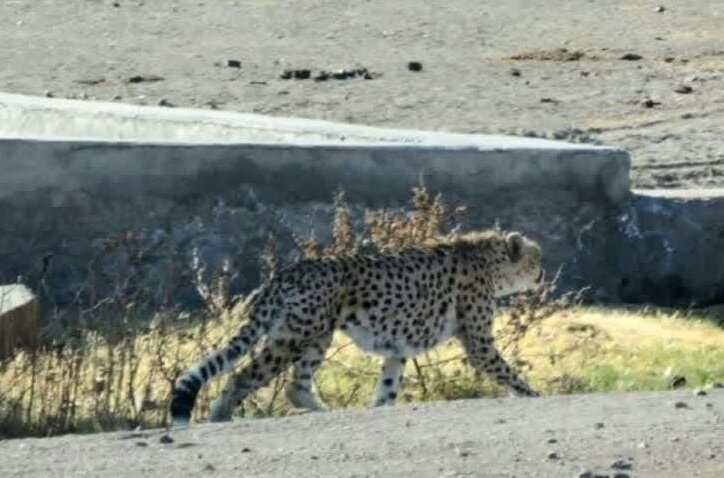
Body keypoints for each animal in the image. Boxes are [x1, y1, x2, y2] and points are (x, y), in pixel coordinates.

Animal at [170, 229, 544, 426]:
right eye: (535, 259)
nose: (542, 274)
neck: (491, 262)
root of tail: (289, 270)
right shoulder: (479, 343)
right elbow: (507, 372)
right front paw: (534, 395)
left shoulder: (398, 346)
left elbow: (388, 386)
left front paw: (380, 409)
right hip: (295, 336)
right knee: (242, 377)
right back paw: (219, 417)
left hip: (316, 334)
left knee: (295, 385)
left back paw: (324, 411)